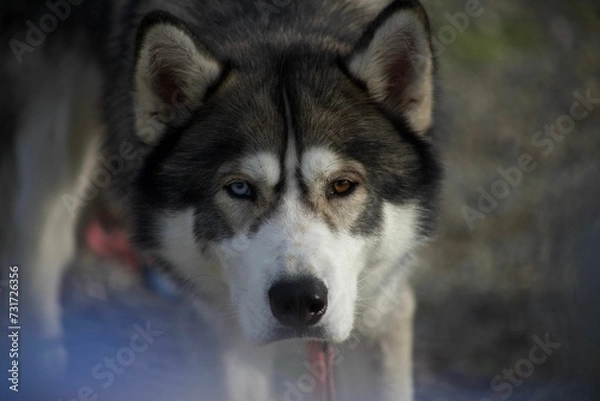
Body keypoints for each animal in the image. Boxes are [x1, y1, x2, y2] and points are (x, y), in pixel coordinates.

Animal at [1, 0, 440, 398]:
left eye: (343, 186)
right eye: (240, 188)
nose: (299, 299)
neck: (282, 17)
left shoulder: (384, 310)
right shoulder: (220, 327)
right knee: (40, 242)